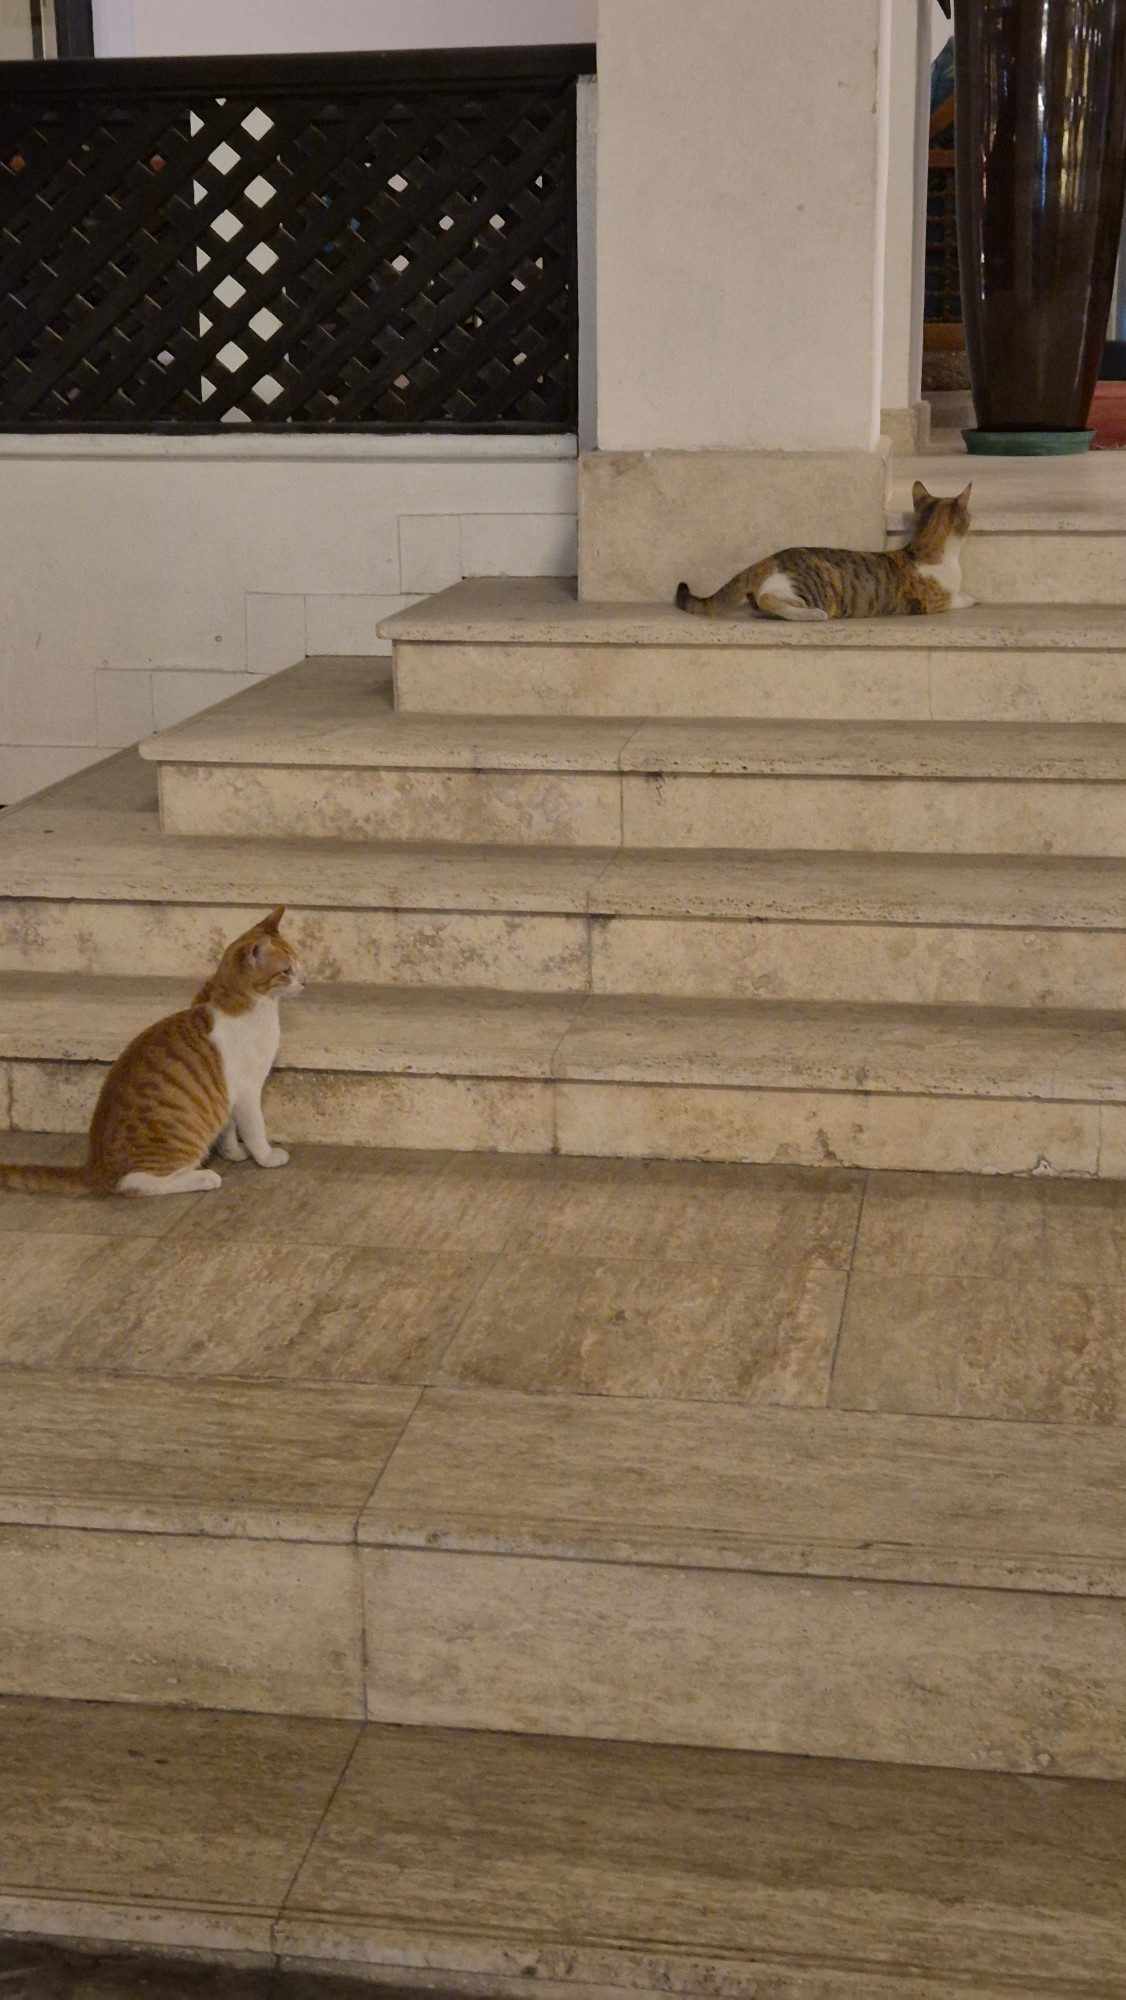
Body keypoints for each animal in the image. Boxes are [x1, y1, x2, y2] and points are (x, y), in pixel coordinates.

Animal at [0, 907, 306, 1199]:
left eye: (298, 965)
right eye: (286, 971)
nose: (305, 981)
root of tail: (96, 1168)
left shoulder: (227, 1096)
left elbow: (228, 1129)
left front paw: (234, 1153)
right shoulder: (247, 1091)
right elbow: (255, 1129)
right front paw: (266, 1156)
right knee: (135, 1183)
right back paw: (203, 1177)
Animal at [676, 481, 973, 622]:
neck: (924, 546)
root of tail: (767, 560)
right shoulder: (937, 602)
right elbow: (958, 598)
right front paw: (971, 597)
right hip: (817, 585)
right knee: (770, 598)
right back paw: (813, 614)